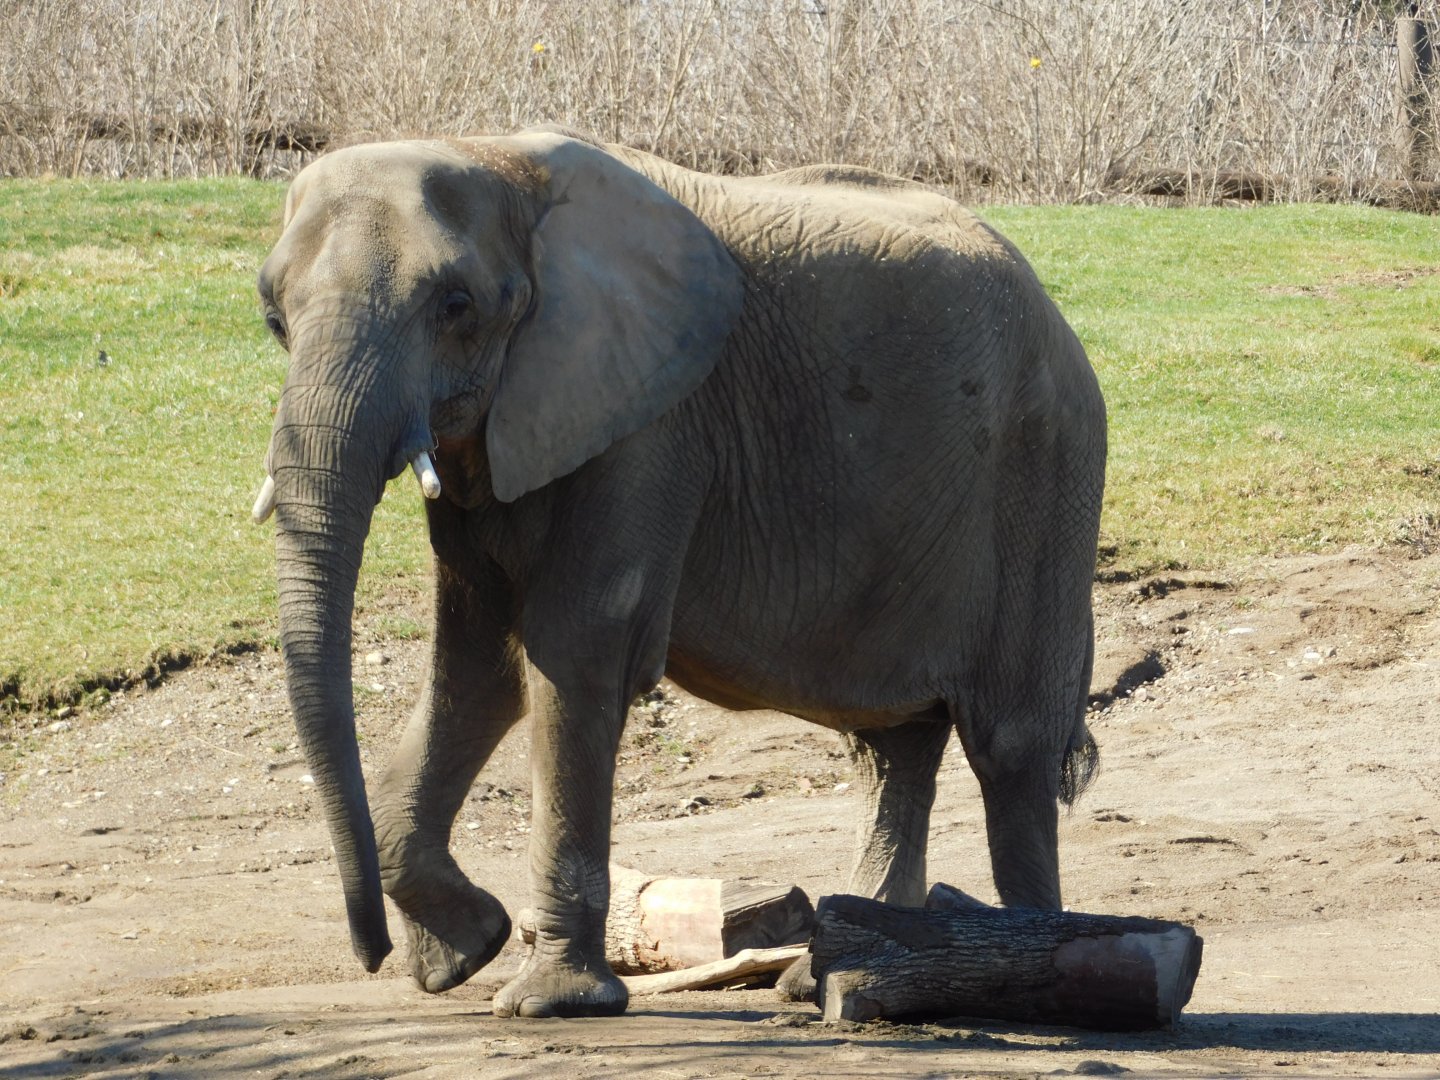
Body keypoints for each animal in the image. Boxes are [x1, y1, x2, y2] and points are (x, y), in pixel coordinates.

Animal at [249, 126, 1106, 1019]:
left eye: (456, 308)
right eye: (274, 317)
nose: (373, 953)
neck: (496, 157)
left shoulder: (654, 421)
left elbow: (574, 649)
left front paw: (549, 1001)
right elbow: (477, 663)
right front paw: (467, 948)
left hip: (1042, 472)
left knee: (1010, 746)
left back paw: (1032, 965)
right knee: (891, 748)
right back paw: (835, 976)